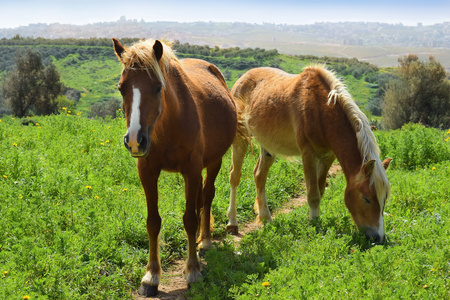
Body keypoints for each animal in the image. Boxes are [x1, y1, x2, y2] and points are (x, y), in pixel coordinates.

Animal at [112, 37, 237, 296]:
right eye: (121, 88)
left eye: (158, 87)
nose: (134, 140)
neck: (169, 123)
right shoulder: (147, 172)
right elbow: (153, 222)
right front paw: (151, 276)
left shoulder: (192, 169)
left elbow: (190, 218)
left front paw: (193, 271)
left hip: (214, 162)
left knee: (207, 197)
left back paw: (205, 241)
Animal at [227, 66, 392, 244]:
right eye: (366, 198)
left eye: (384, 198)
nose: (378, 238)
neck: (321, 109)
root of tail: (242, 78)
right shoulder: (308, 154)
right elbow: (313, 194)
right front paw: (313, 225)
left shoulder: (328, 157)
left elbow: (320, 190)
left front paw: (316, 221)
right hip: (241, 139)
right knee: (235, 176)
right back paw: (232, 223)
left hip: (268, 147)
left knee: (259, 176)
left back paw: (266, 219)